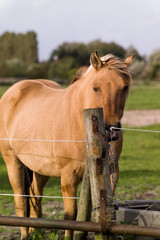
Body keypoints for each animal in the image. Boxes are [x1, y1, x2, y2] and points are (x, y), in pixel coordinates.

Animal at [0, 51, 134, 239]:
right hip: (13, 162)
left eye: (124, 87)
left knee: (35, 197)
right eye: (95, 88)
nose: (110, 129)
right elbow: (70, 216)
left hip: (40, 168)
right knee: (20, 200)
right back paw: (26, 235)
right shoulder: (68, 176)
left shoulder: (111, 174)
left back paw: (36, 232)